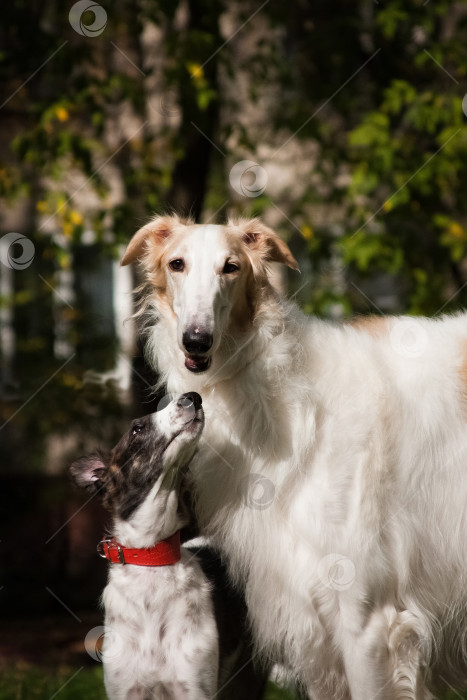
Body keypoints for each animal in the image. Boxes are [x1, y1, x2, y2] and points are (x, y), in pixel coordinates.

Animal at [121, 216, 467, 696]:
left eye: (231, 267)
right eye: (177, 264)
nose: (197, 341)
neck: (290, 407)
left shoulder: (370, 622)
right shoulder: (312, 625)